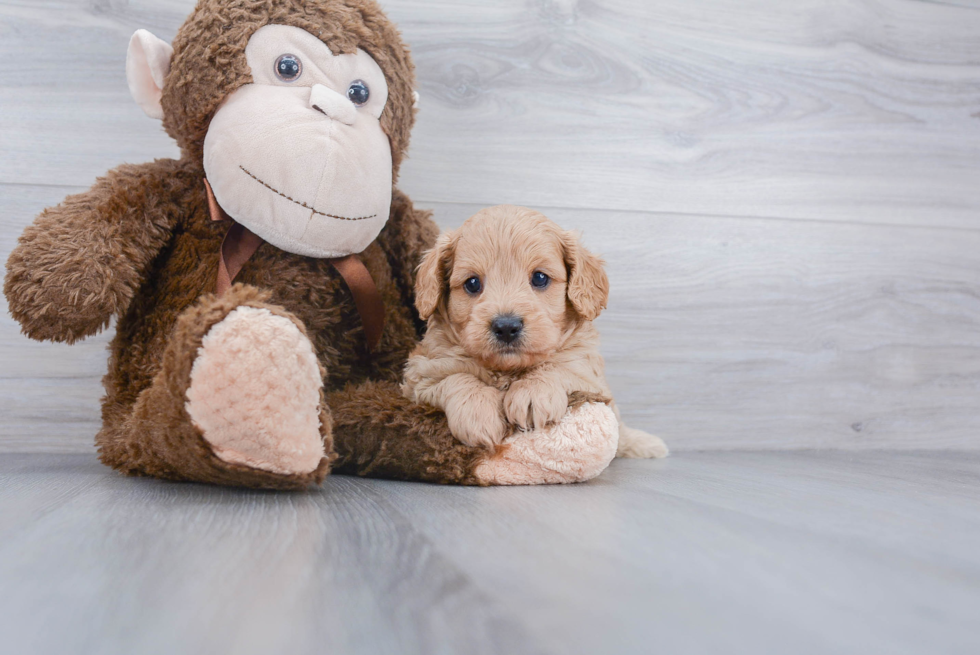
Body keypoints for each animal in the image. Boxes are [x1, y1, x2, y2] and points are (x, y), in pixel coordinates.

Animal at [400, 206, 668, 462]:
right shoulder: (421, 374)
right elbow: (456, 377)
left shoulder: (588, 375)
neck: (508, 370)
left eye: (540, 278)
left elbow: (558, 366)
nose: (506, 326)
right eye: (472, 283)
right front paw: (478, 415)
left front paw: (532, 393)